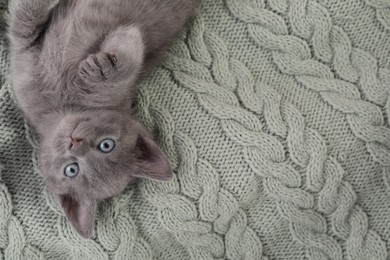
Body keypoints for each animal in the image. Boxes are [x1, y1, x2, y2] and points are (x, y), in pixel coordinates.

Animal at [8, 0, 198, 238]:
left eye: (106, 145)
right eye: (71, 169)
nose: (74, 142)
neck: (62, 105)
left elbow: (131, 48)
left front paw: (102, 69)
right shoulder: (25, 66)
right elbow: (26, 25)